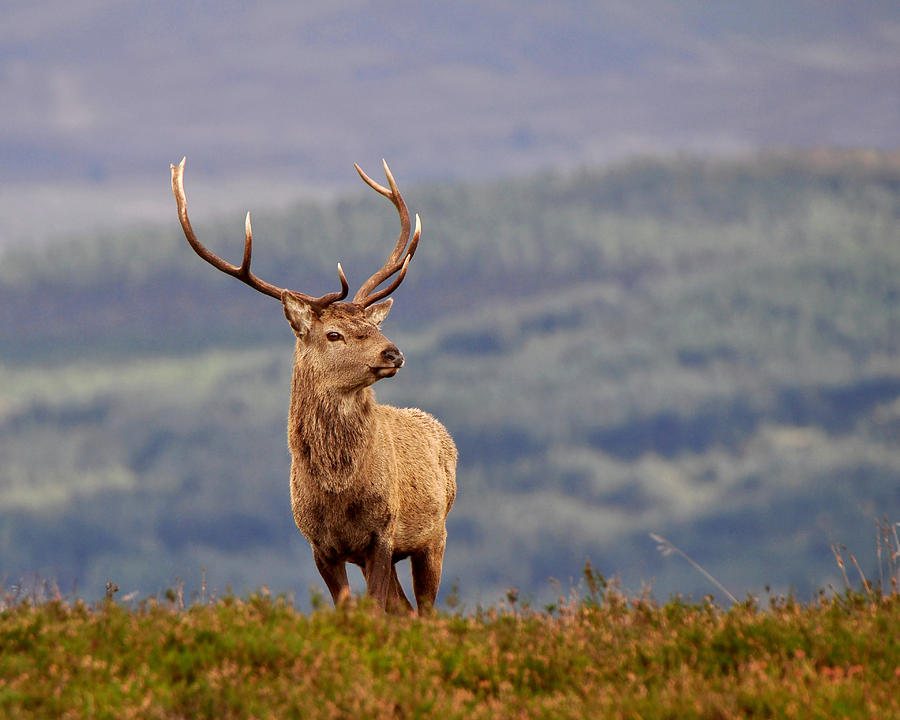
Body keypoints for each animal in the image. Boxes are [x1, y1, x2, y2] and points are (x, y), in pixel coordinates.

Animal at [171, 156, 458, 612]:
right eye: (333, 334)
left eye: (373, 326)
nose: (393, 353)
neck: (337, 492)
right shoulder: (320, 546)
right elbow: (348, 608)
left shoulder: (382, 533)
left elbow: (376, 609)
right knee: (408, 610)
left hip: (435, 534)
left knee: (425, 610)